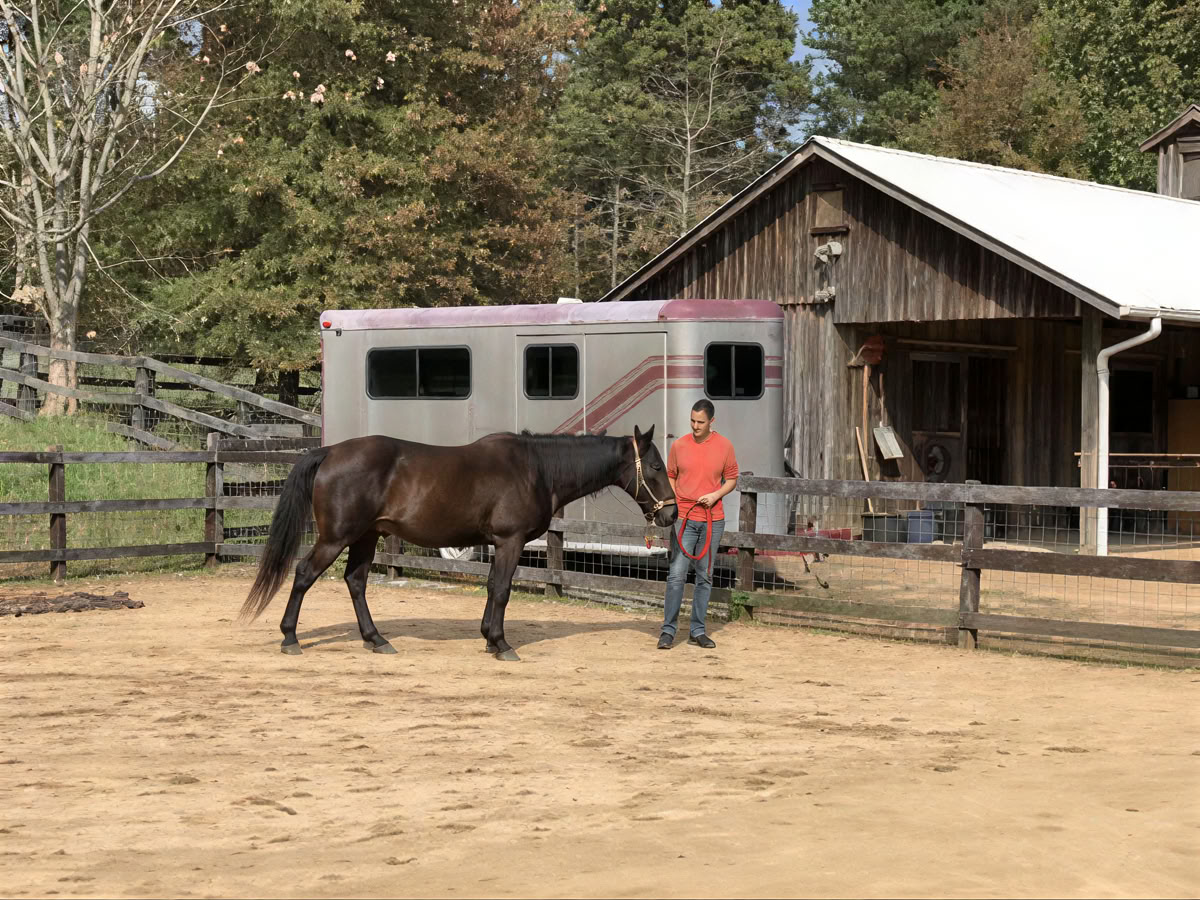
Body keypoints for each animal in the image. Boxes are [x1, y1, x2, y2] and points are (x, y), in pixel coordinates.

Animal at [239, 425, 677, 661]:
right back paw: (291, 638)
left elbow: (492, 587)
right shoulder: (510, 541)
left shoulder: (500, 543)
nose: (671, 514)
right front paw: (501, 644)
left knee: (356, 582)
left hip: (366, 536)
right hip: (336, 538)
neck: (535, 469)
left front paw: (488, 638)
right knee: (303, 575)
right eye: (657, 466)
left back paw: (376, 640)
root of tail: (329, 452)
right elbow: (502, 590)